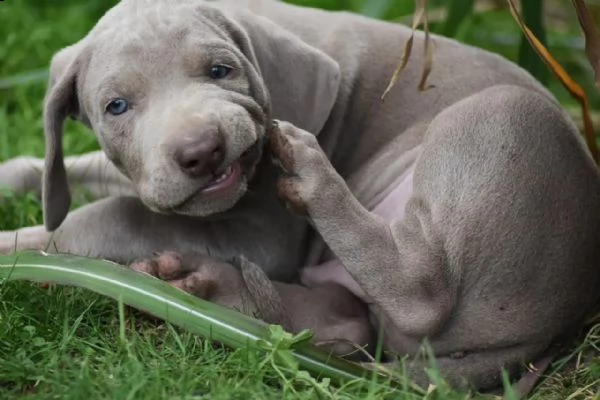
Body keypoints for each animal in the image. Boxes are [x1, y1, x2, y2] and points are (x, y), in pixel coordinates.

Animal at [1, 0, 600, 390]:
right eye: (116, 107)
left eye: (221, 70)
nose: (203, 152)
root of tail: (552, 328)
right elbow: (73, 172)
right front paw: (15, 177)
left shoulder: (265, 234)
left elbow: (109, 215)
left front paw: (16, 244)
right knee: (346, 321)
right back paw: (200, 281)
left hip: (505, 115)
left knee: (421, 292)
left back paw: (310, 179)